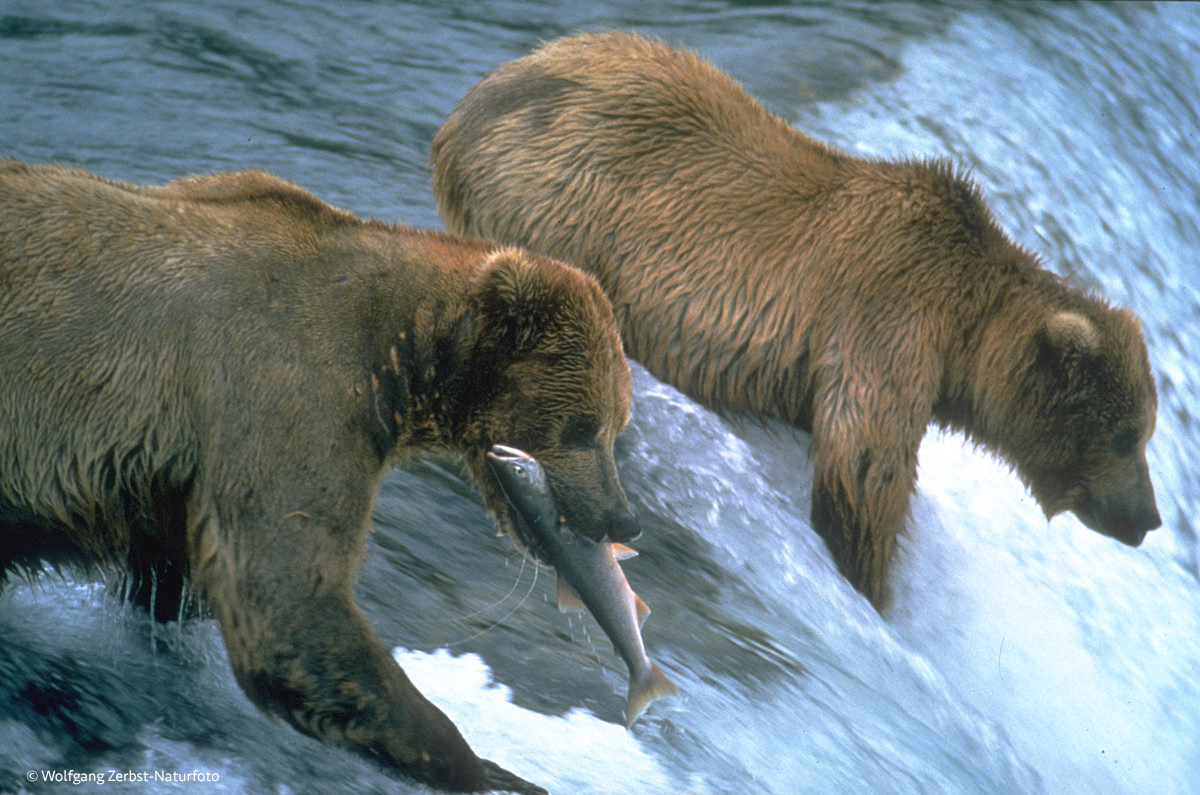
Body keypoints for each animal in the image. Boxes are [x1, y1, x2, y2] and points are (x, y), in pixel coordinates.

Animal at [0, 158, 643, 792]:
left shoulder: (177, 484)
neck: (401, 357)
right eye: (584, 426)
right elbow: (291, 604)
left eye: (618, 423)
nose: (622, 518)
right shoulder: (287, 393)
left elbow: (174, 588)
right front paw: (487, 767)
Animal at [432, 29, 1161, 610]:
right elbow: (864, 470)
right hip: (555, 207)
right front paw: (872, 586)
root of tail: (468, 108)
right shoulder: (889, 319)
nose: (1149, 517)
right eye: (1127, 435)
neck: (967, 330)